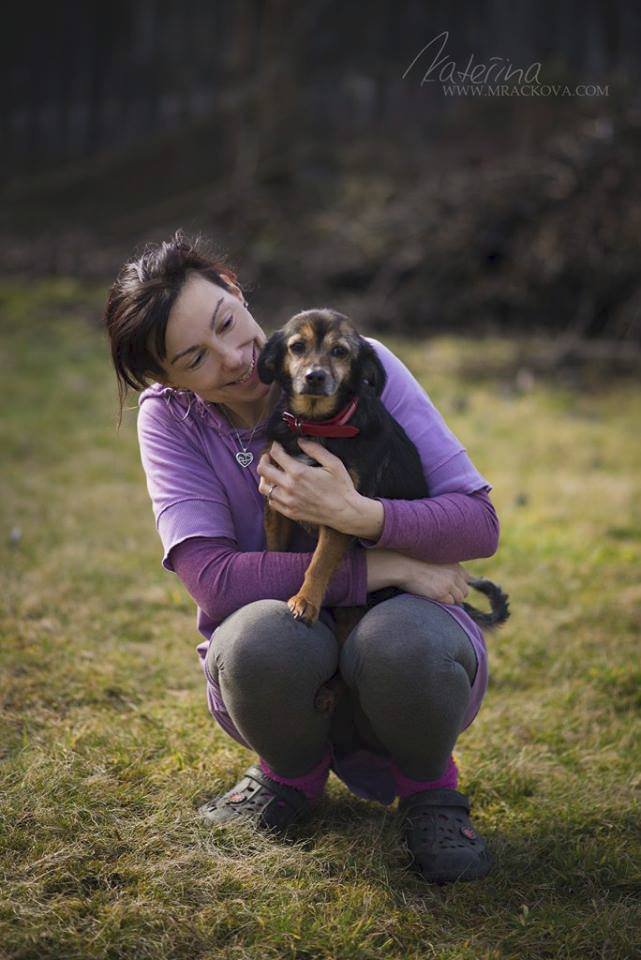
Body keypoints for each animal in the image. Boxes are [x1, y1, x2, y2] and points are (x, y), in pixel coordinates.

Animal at [255, 310, 510, 712]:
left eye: (340, 352)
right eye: (297, 347)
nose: (315, 377)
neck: (316, 425)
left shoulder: (340, 508)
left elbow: (320, 562)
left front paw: (305, 600)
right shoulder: (277, 502)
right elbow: (274, 550)